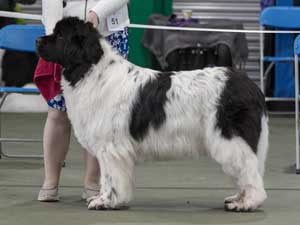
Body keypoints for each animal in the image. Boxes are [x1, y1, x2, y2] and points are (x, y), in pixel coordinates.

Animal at [36, 17, 268, 211]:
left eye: (60, 36)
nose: (37, 39)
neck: (90, 69)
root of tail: (250, 85)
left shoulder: (110, 147)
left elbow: (110, 177)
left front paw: (106, 201)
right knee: (247, 168)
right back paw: (237, 198)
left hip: (230, 138)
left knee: (248, 169)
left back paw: (247, 203)